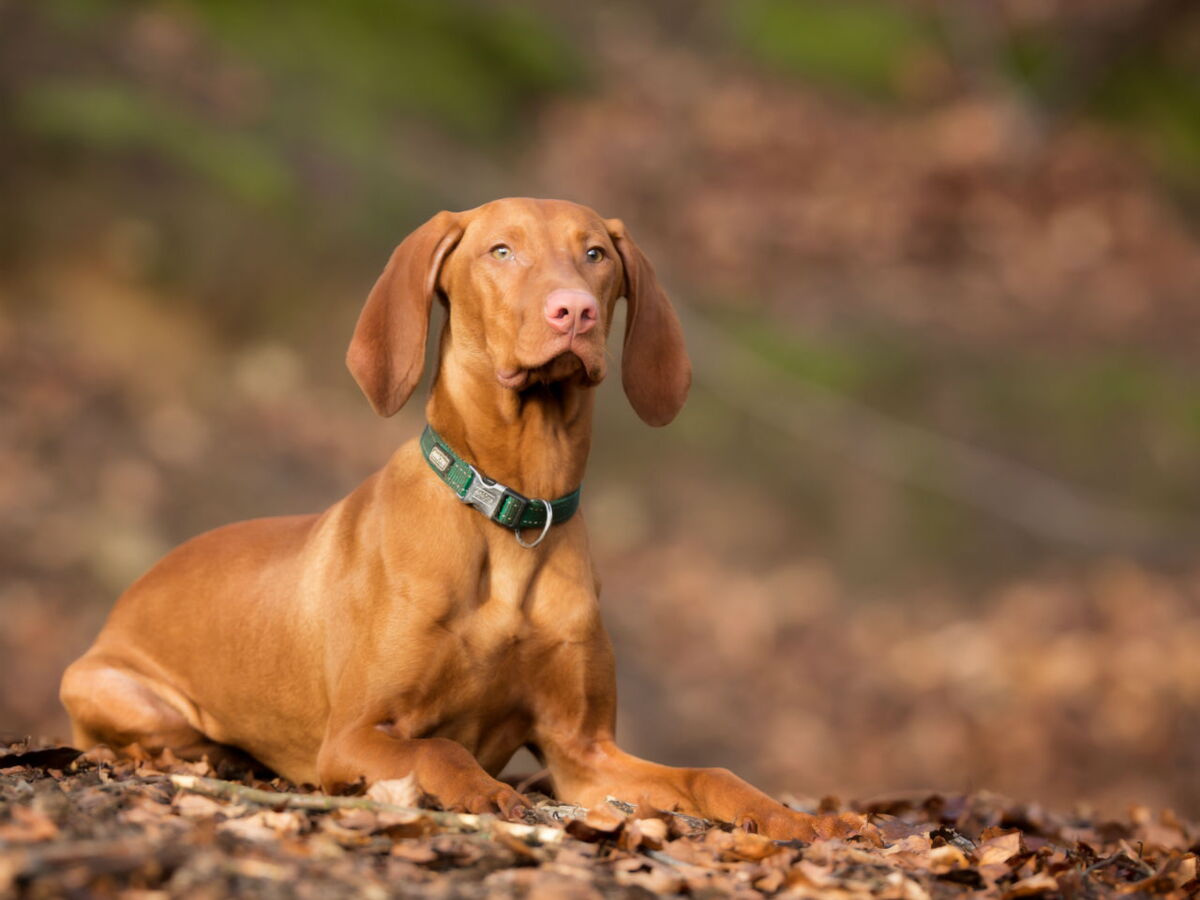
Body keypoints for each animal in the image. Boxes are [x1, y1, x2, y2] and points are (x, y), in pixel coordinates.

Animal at [60, 195, 820, 840]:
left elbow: (710, 772)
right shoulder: (356, 734)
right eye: (501, 251)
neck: (513, 510)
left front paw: (793, 818)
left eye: (596, 254)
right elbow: (442, 751)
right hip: (105, 685)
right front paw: (485, 791)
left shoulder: (584, 751)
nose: (573, 312)